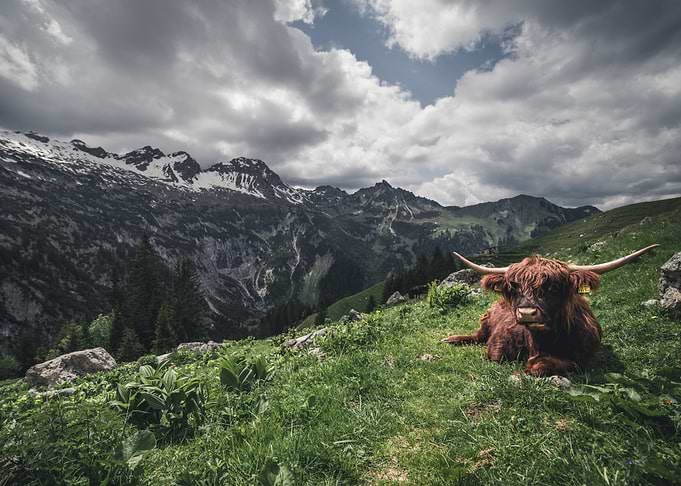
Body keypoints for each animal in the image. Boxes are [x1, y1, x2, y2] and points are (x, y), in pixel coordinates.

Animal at [441, 245, 659, 376]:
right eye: (514, 287)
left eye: (553, 287)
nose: (526, 313)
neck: (542, 341)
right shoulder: (498, 341)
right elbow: (495, 354)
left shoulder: (584, 358)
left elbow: (547, 365)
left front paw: (528, 369)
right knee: (478, 336)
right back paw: (450, 339)